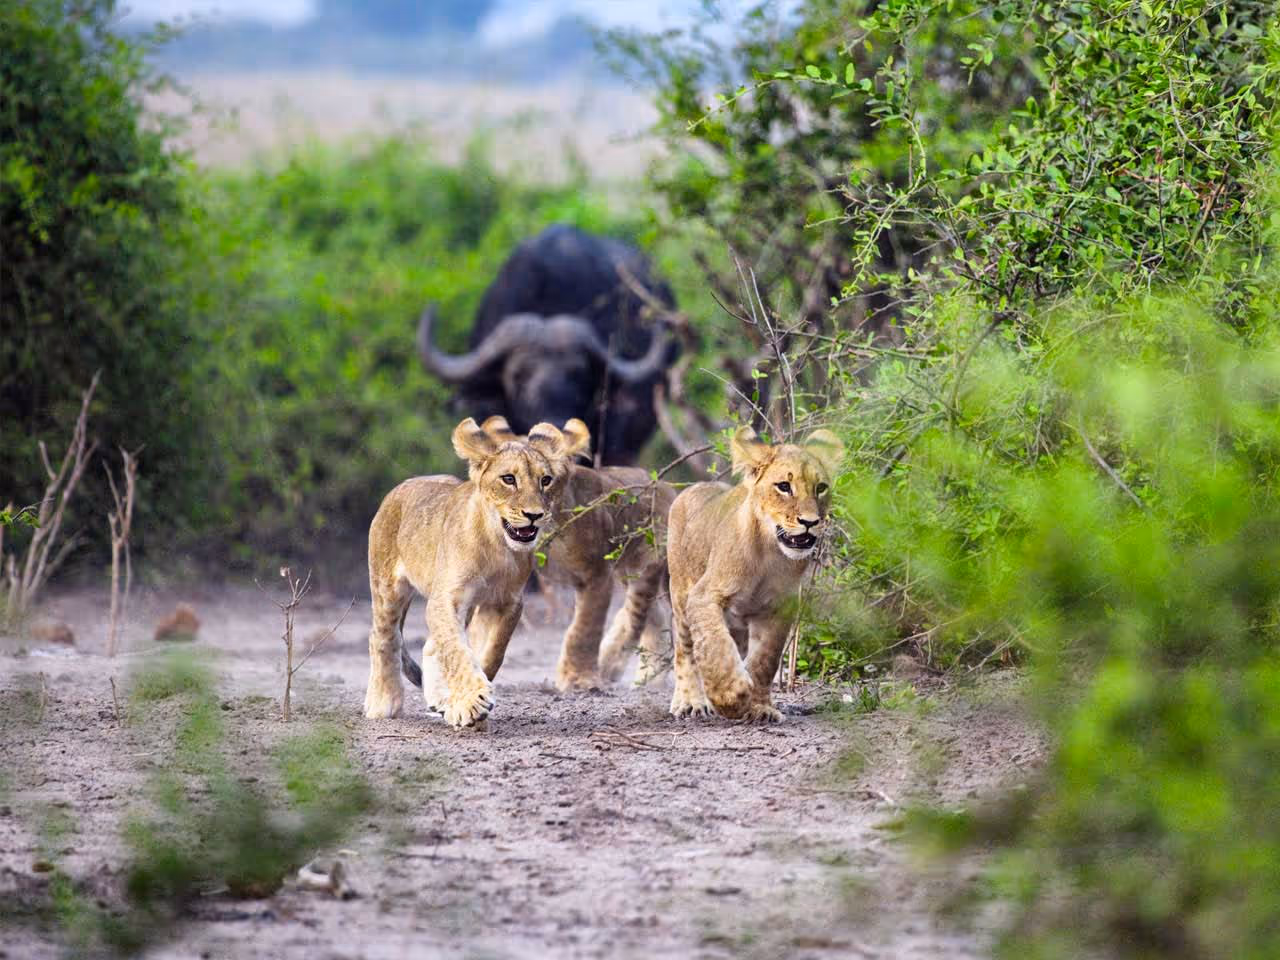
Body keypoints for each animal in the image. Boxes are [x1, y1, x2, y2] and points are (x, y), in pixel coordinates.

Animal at [363, 416, 586, 728]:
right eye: (508, 479)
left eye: (546, 480)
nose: (534, 515)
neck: (497, 547)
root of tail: (403, 485)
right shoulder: (447, 598)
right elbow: (456, 650)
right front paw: (470, 702)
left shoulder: (506, 603)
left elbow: (490, 653)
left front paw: (463, 704)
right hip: (387, 587)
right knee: (383, 636)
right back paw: (383, 703)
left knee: (430, 646)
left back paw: (441, 699)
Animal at [480, 417, 675, 690]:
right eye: (508, 479)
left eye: (546, 479)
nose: (532, 513)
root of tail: (665, 485)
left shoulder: (597, 573)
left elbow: (584, 627)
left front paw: (578, 679)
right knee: (652, 617)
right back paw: (644, 678)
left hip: (646, 563)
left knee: (639, 616)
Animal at [667, 425, 844, 722]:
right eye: (784, 486)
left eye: (820, 488)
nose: (810, 522)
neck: (769, 555)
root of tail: (695, 487)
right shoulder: (704, 596)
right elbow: (715, 647)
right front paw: (730, 696)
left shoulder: (779, 607)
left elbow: (765, 660)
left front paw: (760, 707)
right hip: (681, 595)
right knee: (685, 649)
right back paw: (691, 702)